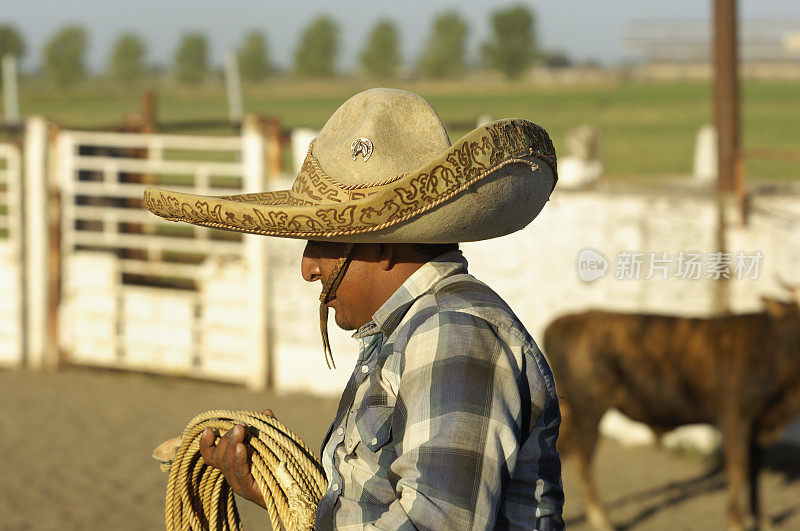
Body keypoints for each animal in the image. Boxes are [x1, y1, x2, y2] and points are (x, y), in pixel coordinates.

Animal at [548, 296, 800, 531]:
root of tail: (566, 319)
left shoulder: (762, 424)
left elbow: (756, 471)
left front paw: (764, 521)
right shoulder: (735, 417)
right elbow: (739, 469)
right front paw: (736, 522)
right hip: (589, 407)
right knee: (582, 459)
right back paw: (602, 520)